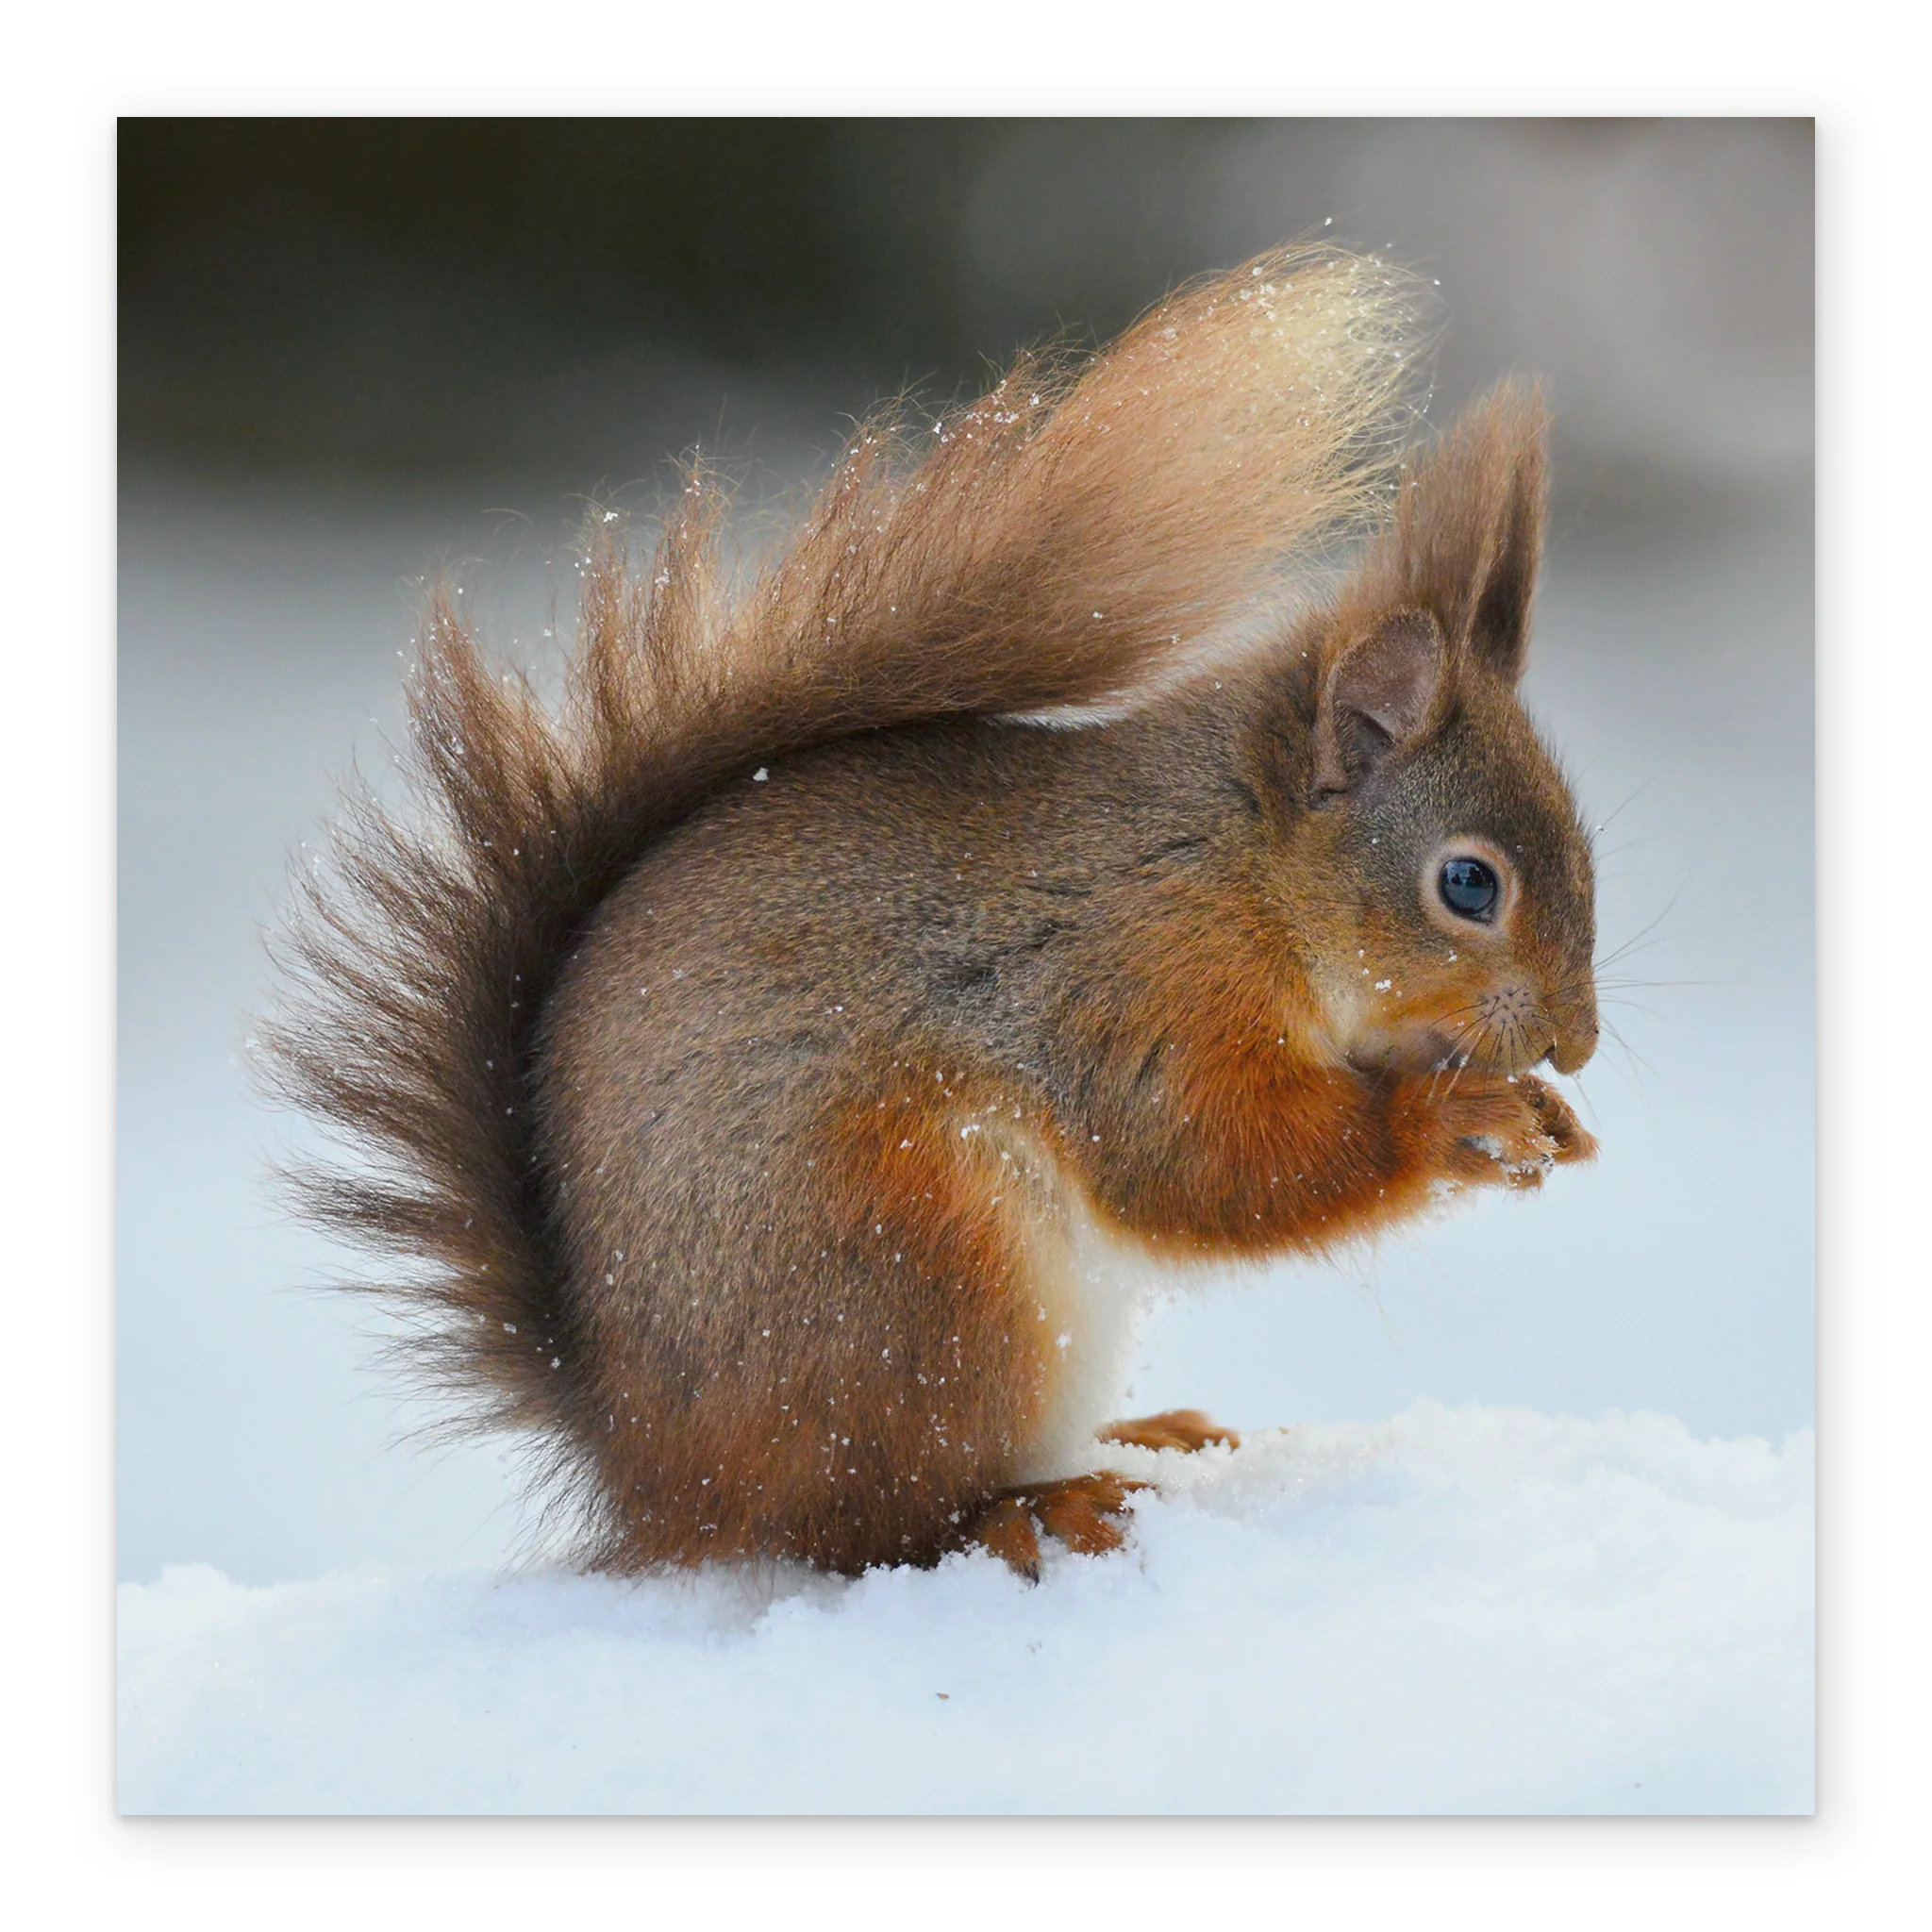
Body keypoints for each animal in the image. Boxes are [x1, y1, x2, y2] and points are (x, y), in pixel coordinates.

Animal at [265, 245, 1599, 1581]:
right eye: (1468, 883)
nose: (1575, 1042)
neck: (1236, 863)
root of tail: (650, 1470)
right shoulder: (1130, 984)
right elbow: (1205, 1163)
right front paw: (1450, 1120)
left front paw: (1537, 1117)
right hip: (916, 1273)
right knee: (867, 1525)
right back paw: (1031, 1505)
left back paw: (1145, 1434)